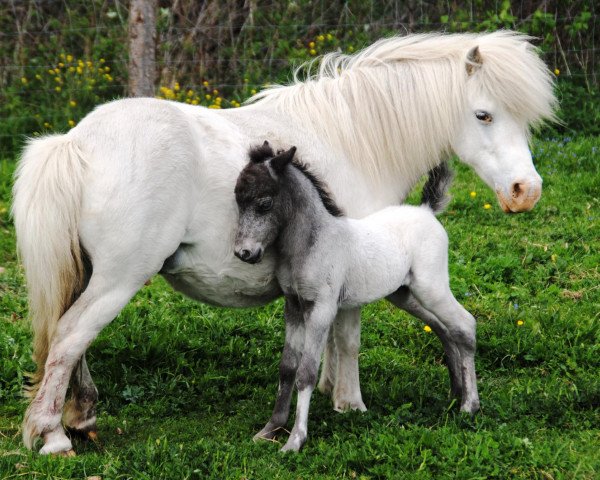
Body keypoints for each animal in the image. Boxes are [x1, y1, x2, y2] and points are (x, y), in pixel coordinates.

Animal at [14, 31, 556, 454]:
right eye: (484, 115)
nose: (525, 192)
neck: (353, 137)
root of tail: (76, 143)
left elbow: (327, 345)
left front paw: (330, 398)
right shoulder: (350, 282)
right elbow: (348, 340)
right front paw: (349, 404)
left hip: (92, 276)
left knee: (70, 337)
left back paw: (81, 418)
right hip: (118, 280)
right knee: (68, 339)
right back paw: (53, 437)